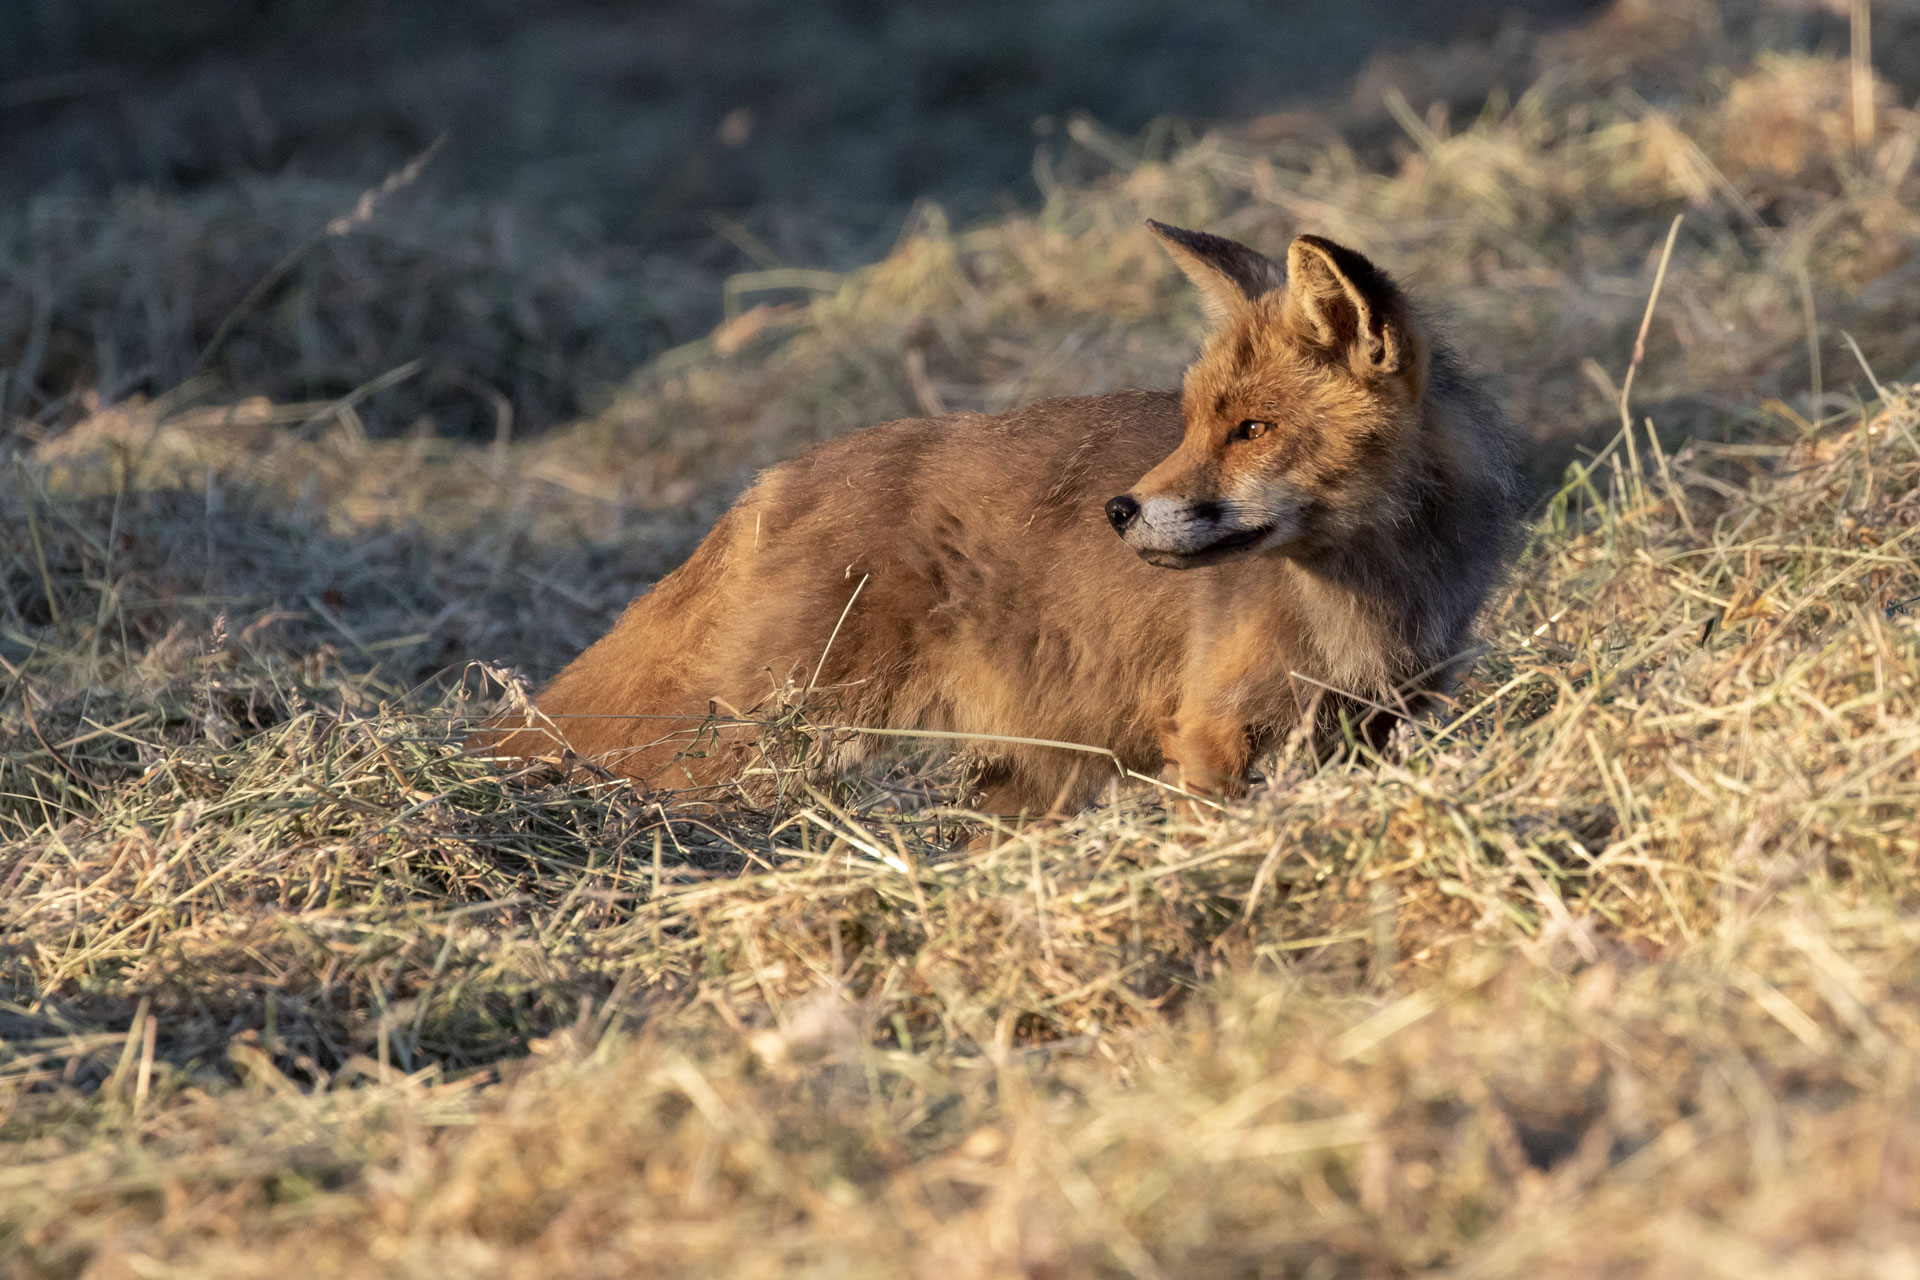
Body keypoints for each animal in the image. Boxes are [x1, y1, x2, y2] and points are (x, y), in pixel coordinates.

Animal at [476, 221, 1524, 816]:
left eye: (1253, 429)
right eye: (1194, 423)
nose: (1119, 510)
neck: (1367, 601)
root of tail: (770, 478)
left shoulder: (1377, 726)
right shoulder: (1210, 733)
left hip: (1023, 782)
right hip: (758, 750)